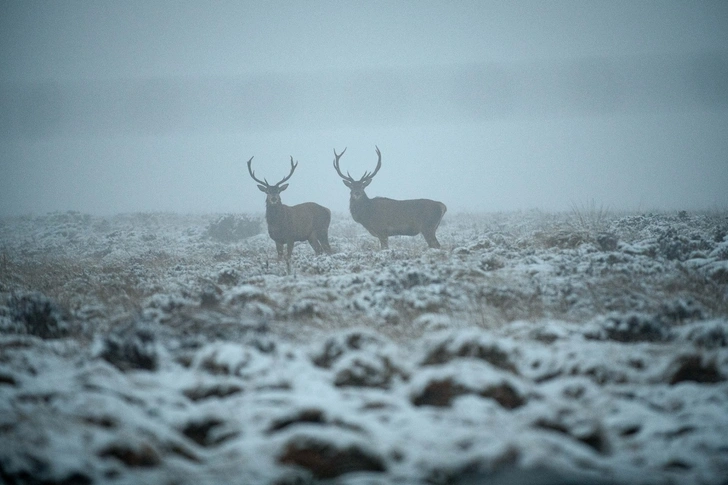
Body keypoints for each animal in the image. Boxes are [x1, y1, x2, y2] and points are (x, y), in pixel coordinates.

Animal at [247, 147, 446, 260]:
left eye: (362, 187)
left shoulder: (382, 231)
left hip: (428, 227)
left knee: (438, 246)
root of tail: (443, 206)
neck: (367, 216)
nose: (357, 193)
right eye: (351, 187)